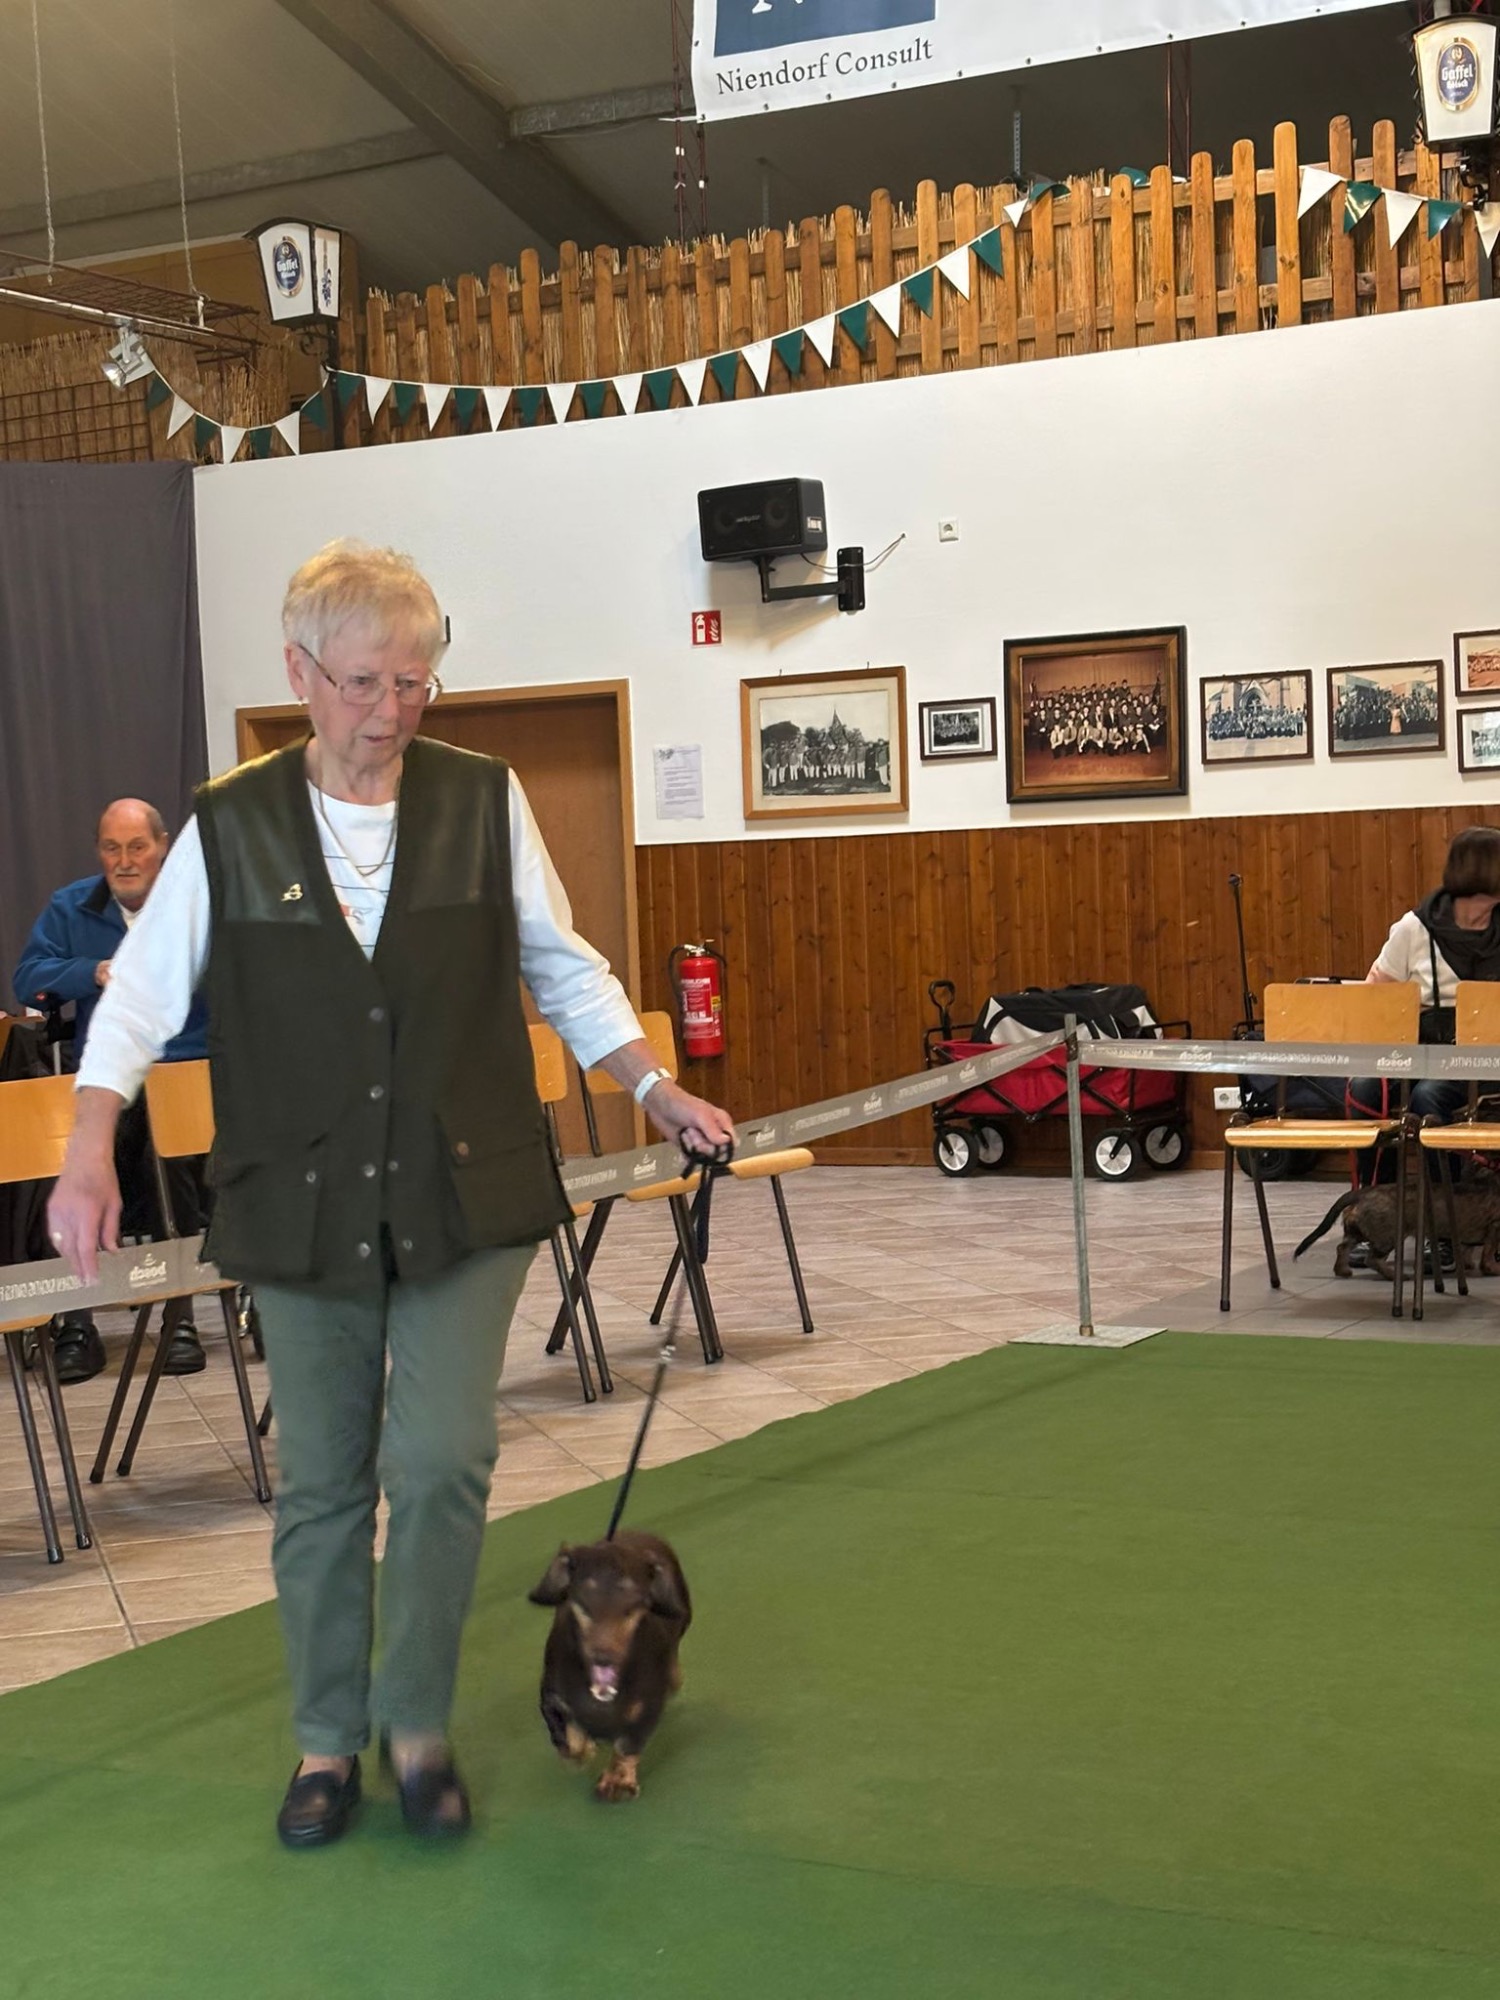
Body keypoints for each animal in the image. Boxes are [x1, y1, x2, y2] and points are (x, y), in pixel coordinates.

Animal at [528, 1530, 691, 1803]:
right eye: (582, 1599)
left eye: (635, 1602)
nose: (603, 1657)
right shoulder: (550, 1696)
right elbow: (565, 1734)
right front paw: (581, 1749)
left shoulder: (648, 1709)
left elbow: (627, 1745)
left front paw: (619, 1780)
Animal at [1294, 1183, 1500, 1280]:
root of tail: (1361, 1193)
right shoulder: (1494, 1228)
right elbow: (1487, 1255)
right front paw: (1492, 1268)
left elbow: (1467, 1250)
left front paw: (1468, 1264)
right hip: (1389, 1236)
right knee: (1372, 1259)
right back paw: (1394, 1275)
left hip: (1358, 1232)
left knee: (1342, 1248)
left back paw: (1342, 1270)